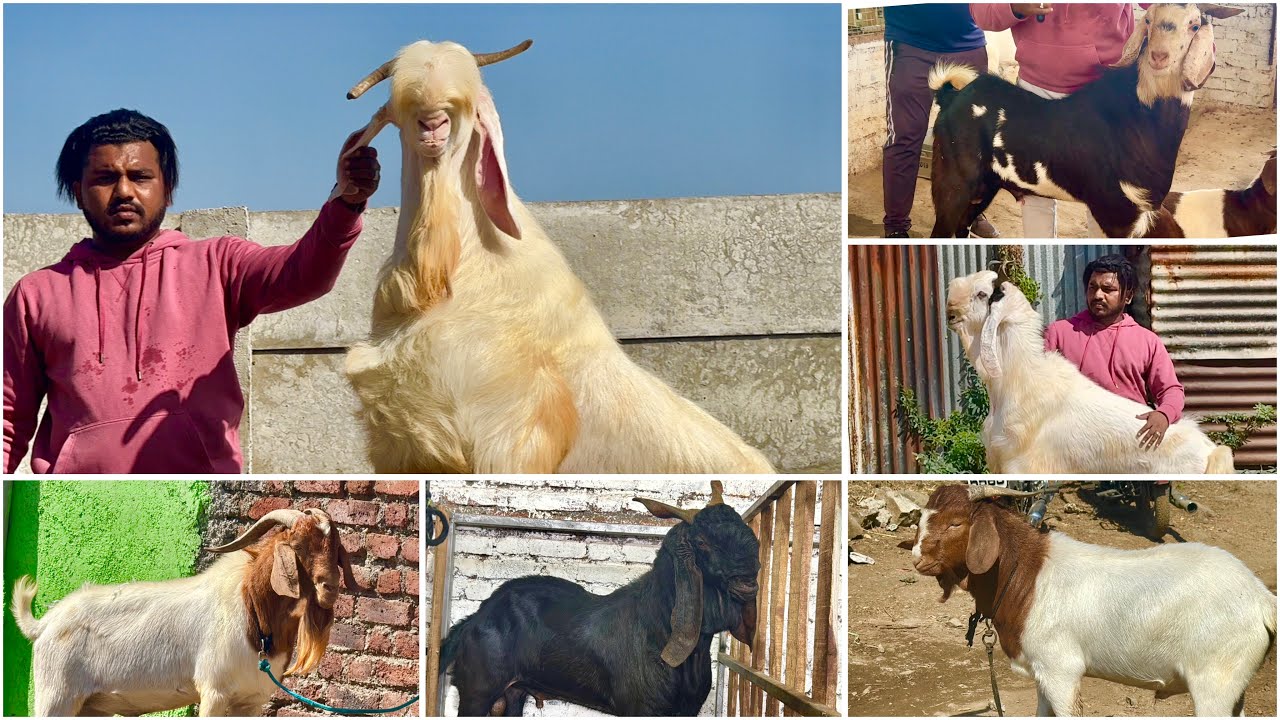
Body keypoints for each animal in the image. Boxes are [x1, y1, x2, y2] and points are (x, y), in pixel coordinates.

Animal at [10, 508, 357, 716]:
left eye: (335, 547)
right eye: (297, 545)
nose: (330, 587)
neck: (251, 608)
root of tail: (45, 623)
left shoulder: (251, 699)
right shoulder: (214, 691)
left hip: (91, 706)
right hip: (56, 695)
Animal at [336, 40, 774, 474]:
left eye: (466, 106)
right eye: (401, 105)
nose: (433, 126)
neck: (439, 282)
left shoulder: (508, 441)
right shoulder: (407, 446)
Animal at [439, 480, 759, 716]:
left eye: (748, 533)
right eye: (702, 541)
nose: (749, 579)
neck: (660, 627)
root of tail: (473, 620)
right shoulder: (641, 709)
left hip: (513, 693)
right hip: (477, 692)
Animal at [901, 484, 1277, 716]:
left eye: (955, 523)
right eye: (921, 519)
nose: (917, 559)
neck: (1025, 574)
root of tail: (1261, 599)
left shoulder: (1060, 669)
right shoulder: (1042, 672)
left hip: (1216, 678)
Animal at [928, 3, 1245, 238]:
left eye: (1194, 25)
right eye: (1149, 20)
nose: (1159, 56)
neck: (1141, 118)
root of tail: (950, 95)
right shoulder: (1115, 210)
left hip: (985, 186)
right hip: (953, 181)